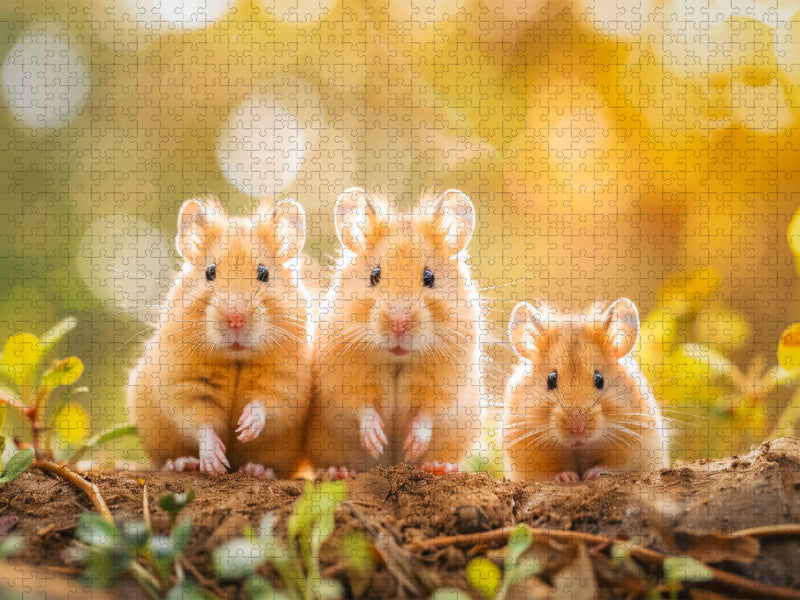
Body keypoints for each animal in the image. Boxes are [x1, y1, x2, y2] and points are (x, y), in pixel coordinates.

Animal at [128, 197, 312, 478]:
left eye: (263, 272)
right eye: (210, 271)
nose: (235, 318)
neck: (235, 357)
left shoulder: (286, 380)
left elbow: (265, 403)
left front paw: (244, 429)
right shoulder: (184, 385)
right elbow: (202, 424)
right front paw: (215, 463)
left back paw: (258, 469)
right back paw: (182, 464)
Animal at [304, 188, 482, 474]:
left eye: (429, 277)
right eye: (374, 275)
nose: (399, 322)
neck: (397, 359)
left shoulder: (447, 382)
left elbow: (427, 415)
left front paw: (411, 448)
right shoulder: (343, 377)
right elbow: (362, 408)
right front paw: (378, 441)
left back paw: (440, 467)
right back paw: (337, 471)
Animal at [500, 298, 668, 486]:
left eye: (599, 379)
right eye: (551, 379)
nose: (577, 428)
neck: (578, 448)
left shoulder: (638, 442)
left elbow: (611, 465)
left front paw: (590, 474)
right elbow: (550, 472)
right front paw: (568, 477)